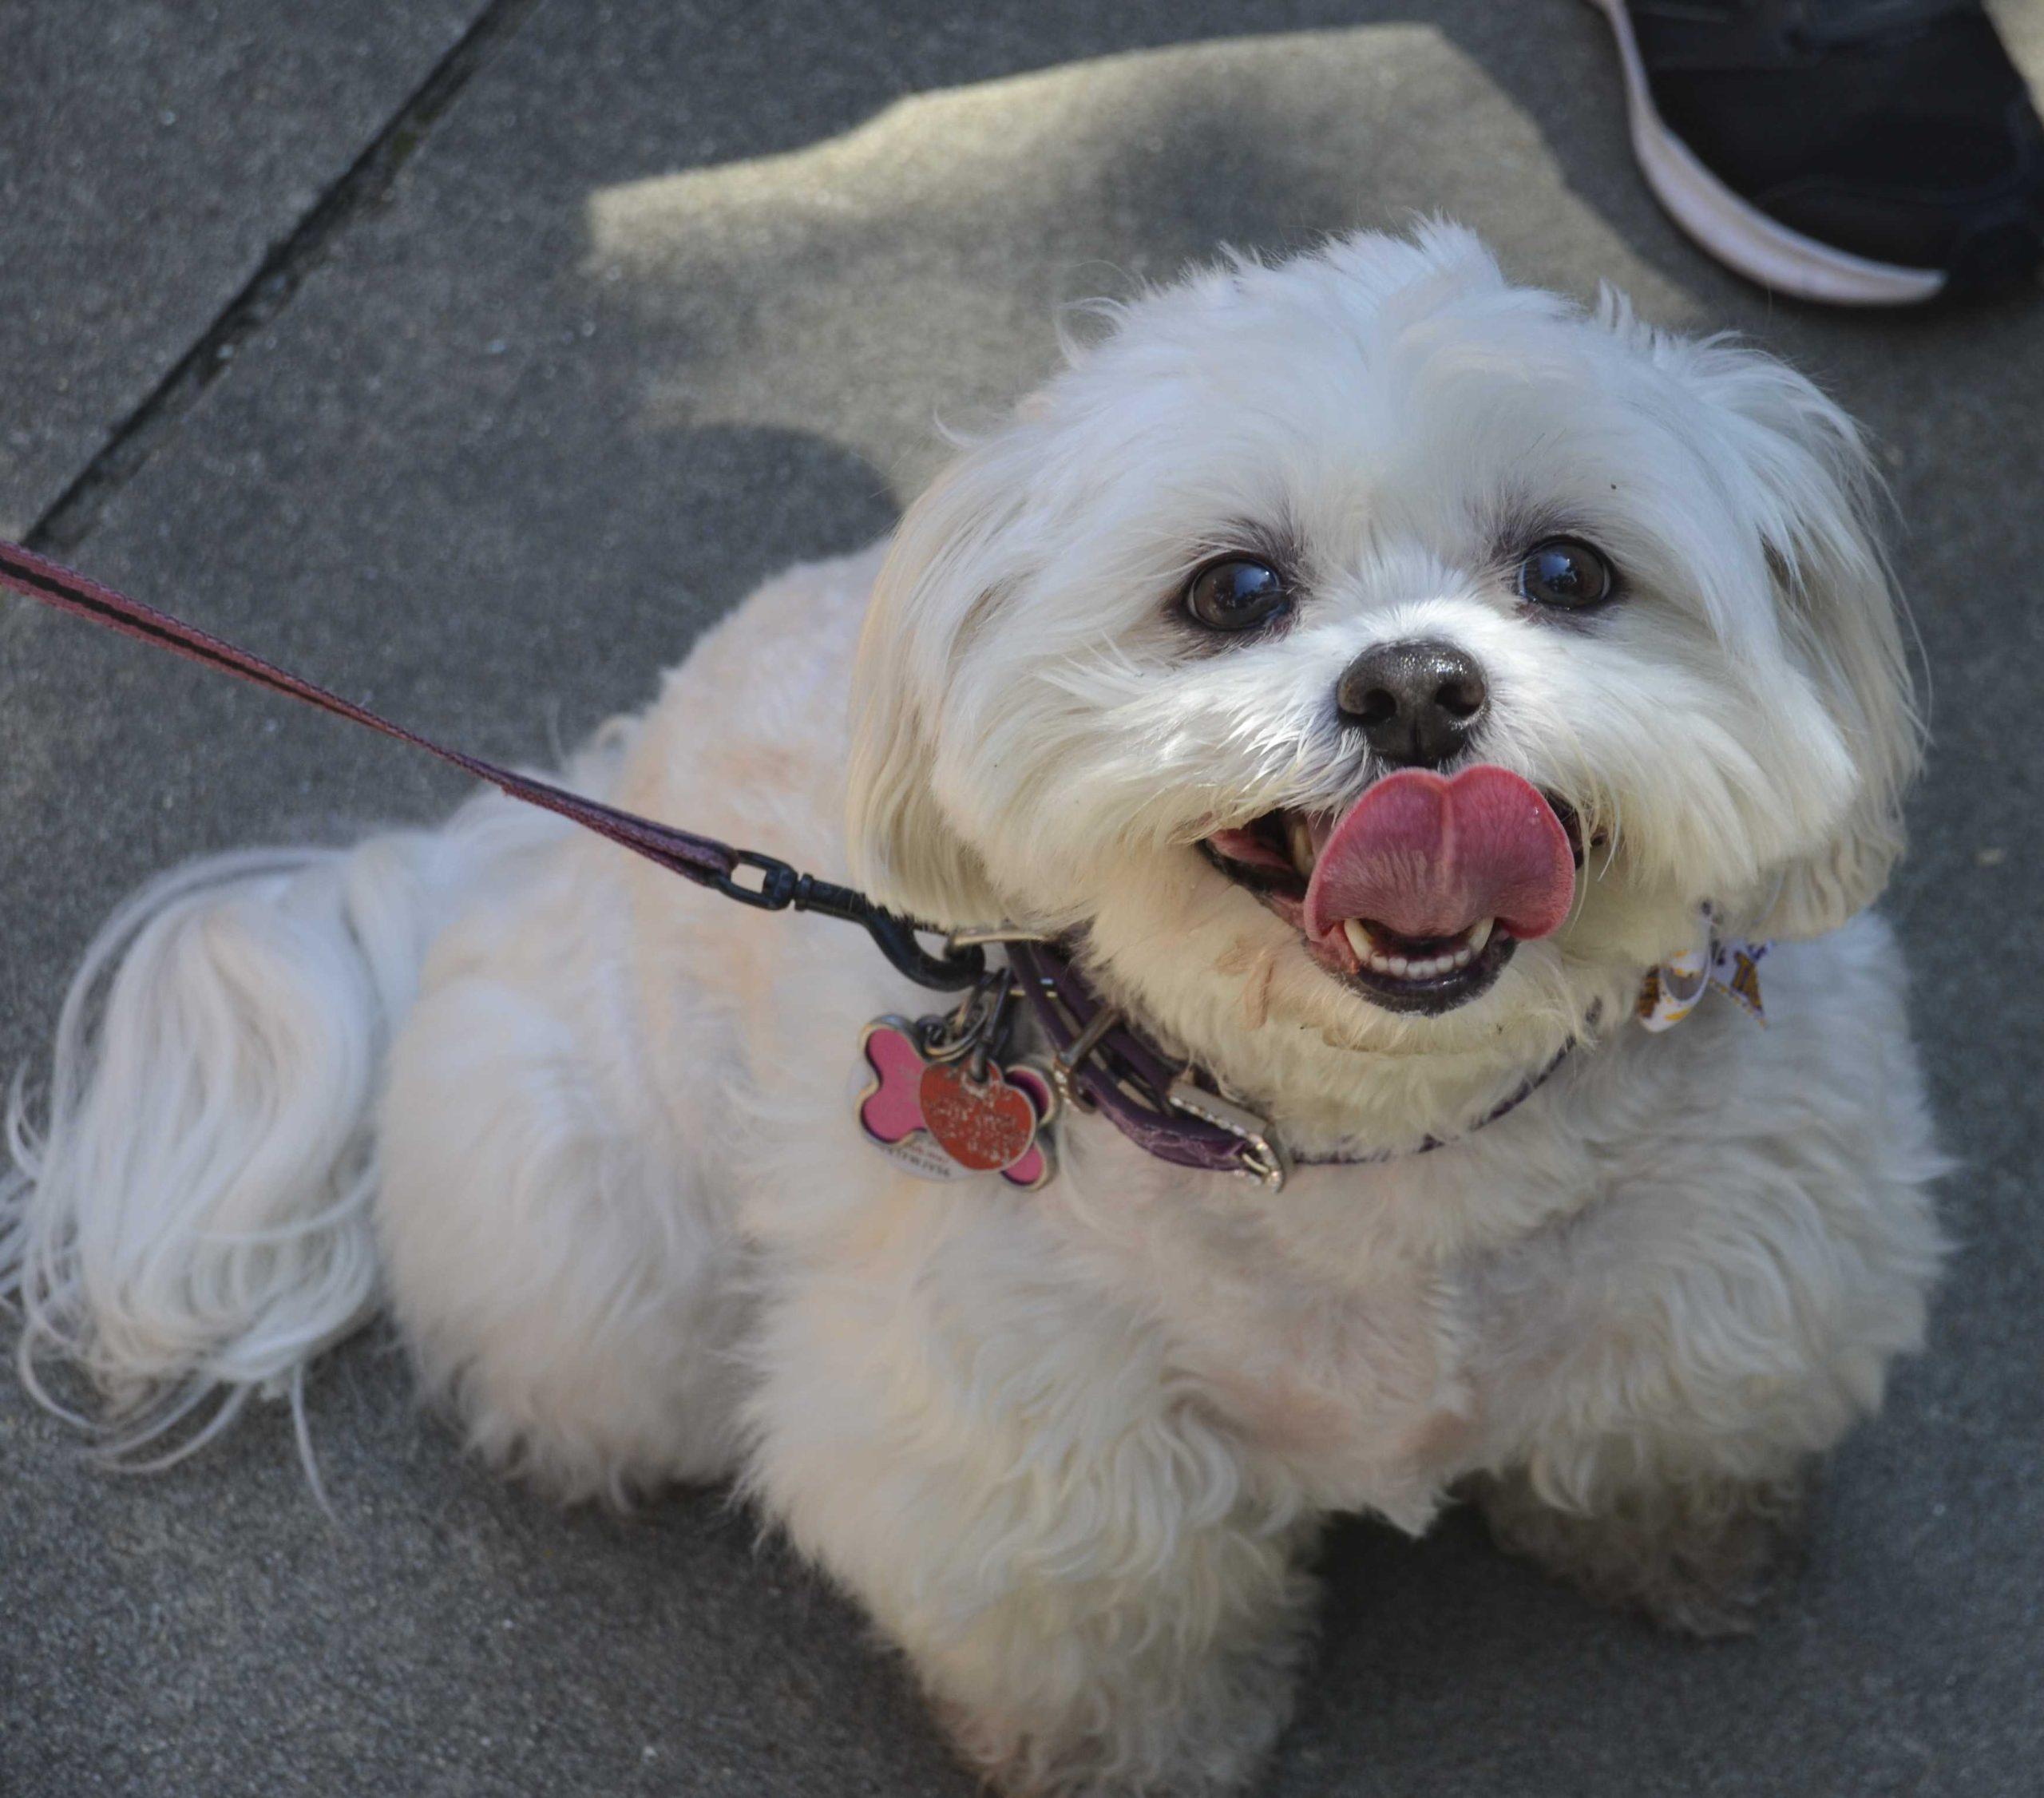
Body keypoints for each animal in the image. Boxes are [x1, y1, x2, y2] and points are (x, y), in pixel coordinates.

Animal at [4, 228, 1946, 1798]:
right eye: (1235, 591)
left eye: (1565, 571)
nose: (1416, 686)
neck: (1373, 1144)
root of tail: (546, 817)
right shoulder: (1019, 1462)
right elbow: (1105, 1635)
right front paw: (1129, 1760)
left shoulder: (1740, 1261)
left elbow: (1665, 1420)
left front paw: (1685, 1546)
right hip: (600, 1261)